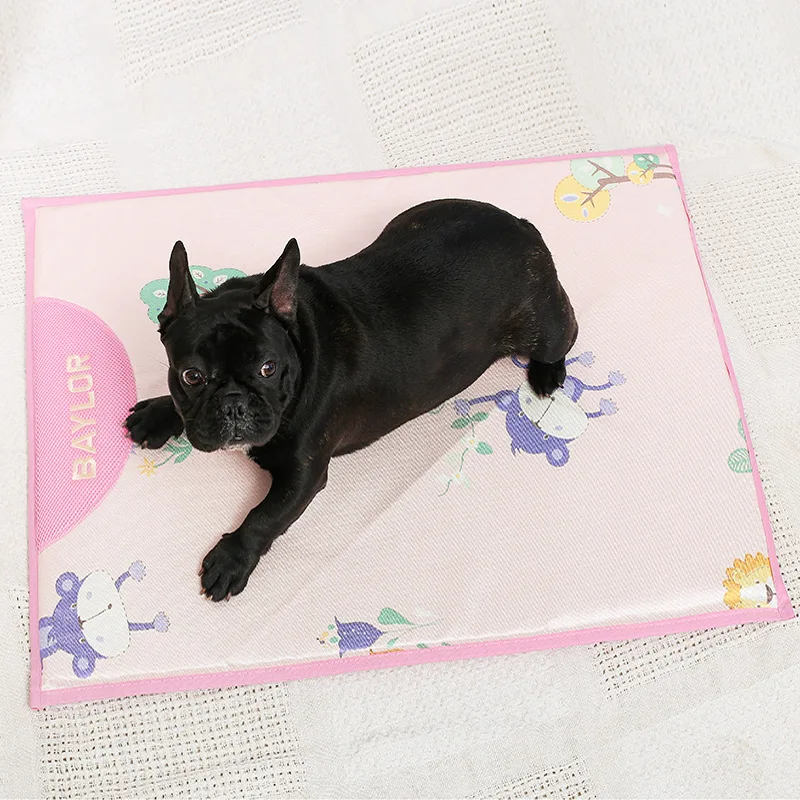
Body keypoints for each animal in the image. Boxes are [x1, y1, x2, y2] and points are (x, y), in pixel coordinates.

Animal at [125, 199, 578, 601]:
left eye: (269, 368)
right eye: (192, 376)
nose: (235, 404)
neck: (300, 343)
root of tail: (521, 227)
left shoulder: (305, 474)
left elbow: (264, 517)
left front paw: (232, 559)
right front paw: (158, 414)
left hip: (546, 329)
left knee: (565, 335)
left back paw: (547, 374)